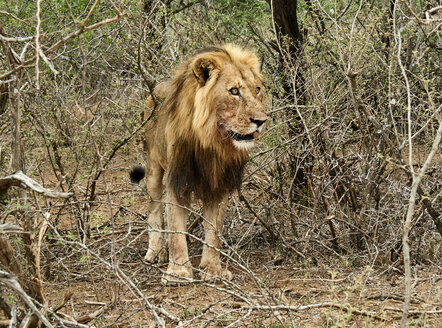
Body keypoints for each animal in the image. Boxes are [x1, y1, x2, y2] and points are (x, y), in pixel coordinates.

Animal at [129, 44, 268, 284]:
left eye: (257, 89)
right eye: (234, 91)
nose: (261, 121)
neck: (211, 143)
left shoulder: (220, 184)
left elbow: (214, 231)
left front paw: (213, 270)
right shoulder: (177, 179)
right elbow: (176, 228)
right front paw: (178, 272)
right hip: (154, 167)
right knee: (154, 209)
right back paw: (155, 251)